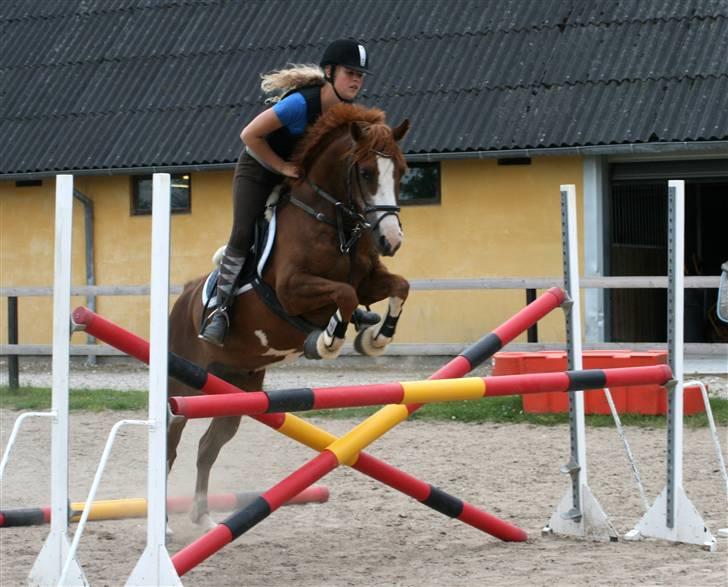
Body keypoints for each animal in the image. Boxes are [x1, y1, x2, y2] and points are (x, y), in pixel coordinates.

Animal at [167, 103, 412, 532]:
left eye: (401, 171)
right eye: (366, 172)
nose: (391, 240)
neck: (332, 220)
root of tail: (184, 297)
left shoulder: (370, 281)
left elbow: (398, 285)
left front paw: (375, 338)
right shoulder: (292, 289)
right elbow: (343, 295)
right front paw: (328, 340)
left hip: (238, 388)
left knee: (208, 446)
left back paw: (204, 516)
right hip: (182, 386)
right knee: (171, 442)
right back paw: (164, 522)